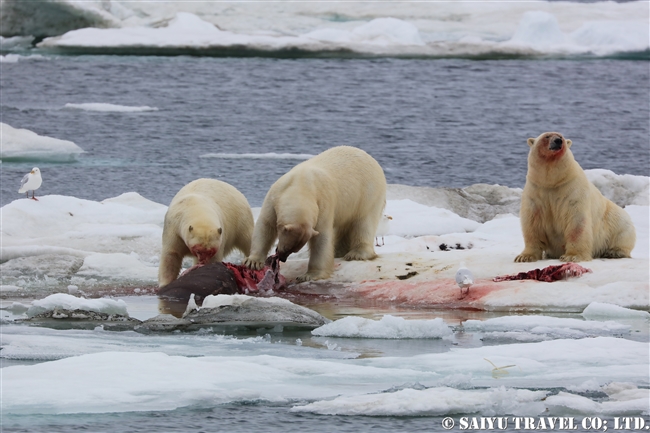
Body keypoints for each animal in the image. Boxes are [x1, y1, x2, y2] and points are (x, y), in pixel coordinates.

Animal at [243, 143, 384, 282]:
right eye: (288, 248)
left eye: (293, 249)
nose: (282, 258)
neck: (301, 186)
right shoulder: (275, 197)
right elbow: (266, 225)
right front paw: (253, 262)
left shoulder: (323, 205)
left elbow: (321, 238)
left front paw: (309, 275)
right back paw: (339, 252)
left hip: (368, 193)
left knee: (364, 222)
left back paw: (356, 254)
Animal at [512, 131, 632, 264]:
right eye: (547, 136)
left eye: (561, 137)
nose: (558, 141)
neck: (552, 182)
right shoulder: (536, 192)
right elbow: (532, 222)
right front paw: (524, 257)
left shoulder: (573, 191)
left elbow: (576, 222)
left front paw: (572, 256)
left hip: (614, 220)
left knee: (622, 231)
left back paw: (613, 252)